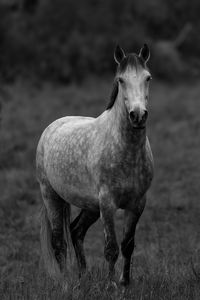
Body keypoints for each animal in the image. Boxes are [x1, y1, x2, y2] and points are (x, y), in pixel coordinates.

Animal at [36, 44, 154, 286]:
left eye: (148, 77)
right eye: (121, 80)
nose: (138, 116)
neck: (126, 152)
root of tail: (51, 127)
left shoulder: (137, 204)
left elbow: (128, 245)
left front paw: (125, 284)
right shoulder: (107, 204)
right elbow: (111, 248)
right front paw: (110, 285)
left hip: (90, 205)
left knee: (76, 231)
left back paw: (83, 277)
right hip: (51, 196)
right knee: (59, 243)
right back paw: (65, 283)